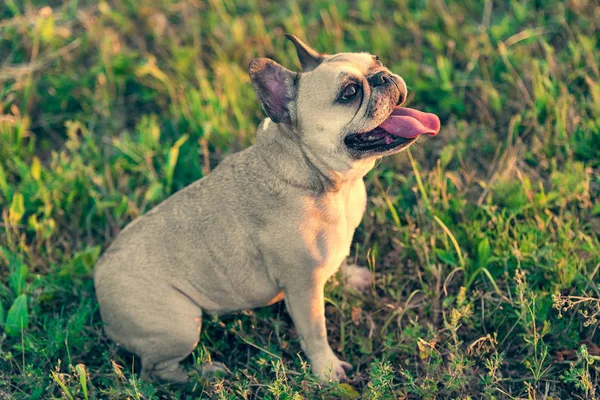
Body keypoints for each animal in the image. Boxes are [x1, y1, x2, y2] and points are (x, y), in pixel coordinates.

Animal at [95, 35, 440, 384]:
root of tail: (98, 277)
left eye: (377, 61)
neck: (324, 181)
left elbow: (340, 257)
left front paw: (350, 276)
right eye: (350, 92)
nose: (383, 77)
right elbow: (315, 333)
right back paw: (204, 374)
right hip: (180, 325)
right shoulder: (303, 287)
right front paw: (327, 370)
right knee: (154, 371)